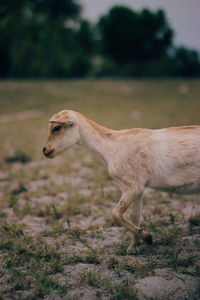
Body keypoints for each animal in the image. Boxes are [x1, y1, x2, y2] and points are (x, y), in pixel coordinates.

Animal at [43, 109, 200, 254]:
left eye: (57, 127)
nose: (45, 150)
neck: (112, 146)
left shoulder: (132, 187)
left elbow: (115, 214)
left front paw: (148, 238)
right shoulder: (139, 188)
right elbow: (135, 217)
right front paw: (132, 249)